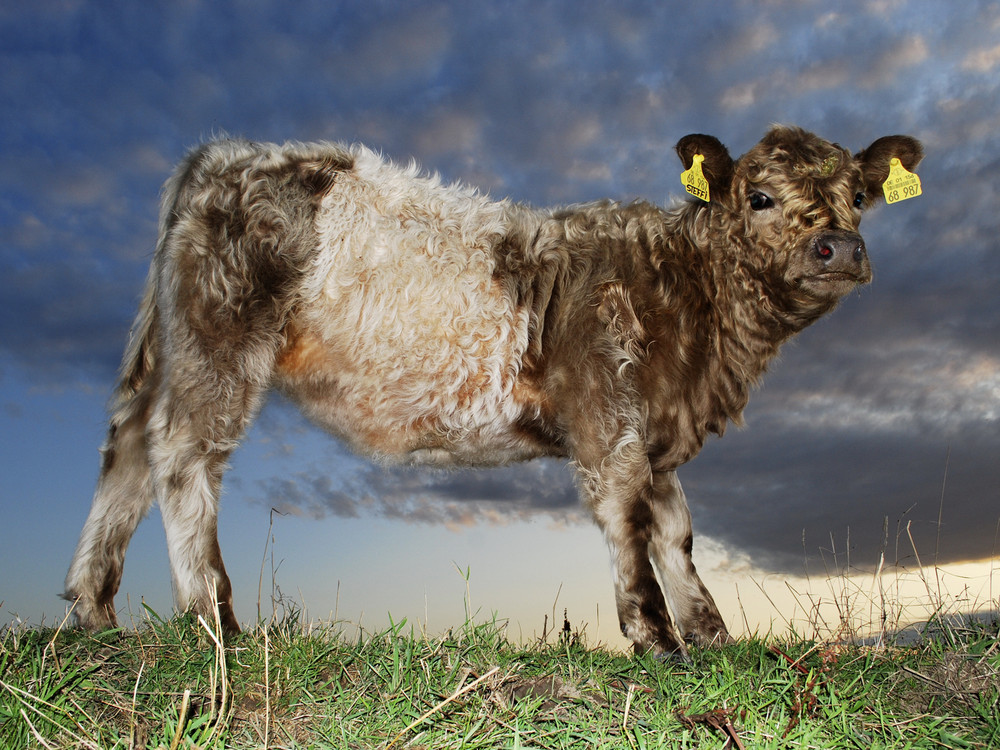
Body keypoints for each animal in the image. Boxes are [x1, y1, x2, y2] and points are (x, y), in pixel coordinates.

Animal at [62, 126, 920, 656]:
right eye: (760, 197)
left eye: (859, 197)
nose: (838, 247)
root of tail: (229, 152)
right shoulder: (608, 417)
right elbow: (631, 522)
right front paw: (656, 638)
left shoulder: (655, 432)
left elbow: (677, 532)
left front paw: (712, 637)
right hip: (223, 339)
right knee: (182, 454)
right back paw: (215, 622)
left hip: (173, 345)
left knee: (127, 446)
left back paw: (93, 611)